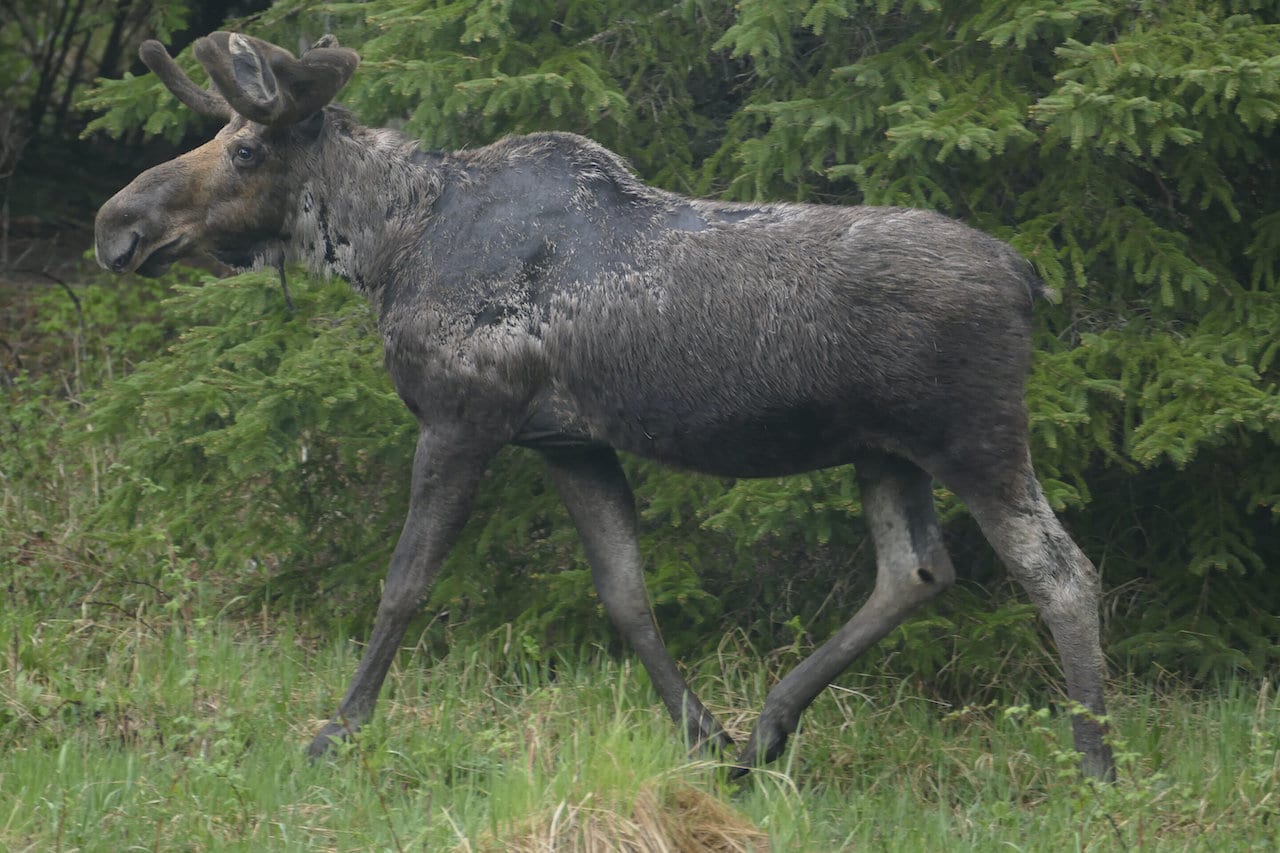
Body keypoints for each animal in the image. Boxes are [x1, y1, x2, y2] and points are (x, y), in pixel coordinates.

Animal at [94, 31, 1116, 778]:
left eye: (246, 148)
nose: (116, 224)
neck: (390, 247)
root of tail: (1028, 278)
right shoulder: (569, 443)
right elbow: (626, 596)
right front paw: (703, 738)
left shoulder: (463, 417)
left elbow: (404, 583)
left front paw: (335, 733)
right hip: (885, 449)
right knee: (915, 571)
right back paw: (765, 733)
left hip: (976, 437)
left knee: (1060, 571)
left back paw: (1095, 768)